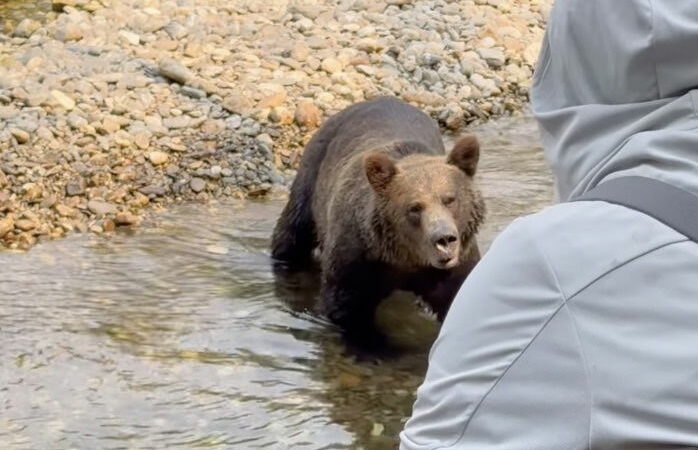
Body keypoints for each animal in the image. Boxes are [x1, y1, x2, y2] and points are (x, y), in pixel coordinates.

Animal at [270, 96, 482, 346]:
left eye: (450, 199)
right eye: (414, 207)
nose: (444, 239)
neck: (405, 258)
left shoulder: (456, 265)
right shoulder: (356, 257)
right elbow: (346, 307)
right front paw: (373, 343)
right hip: (312, 175)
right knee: (293, 233)